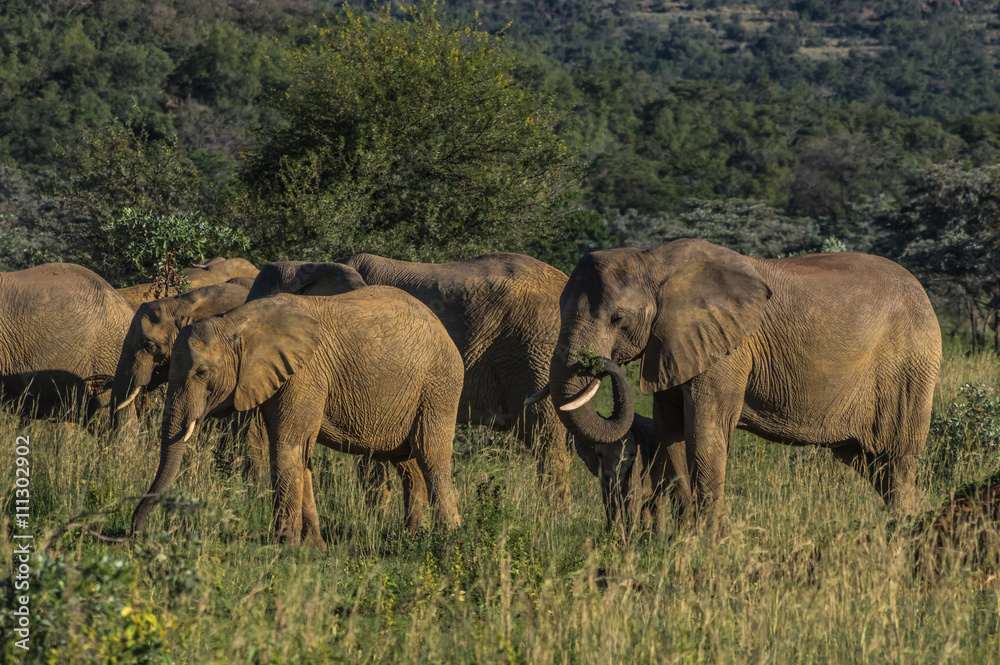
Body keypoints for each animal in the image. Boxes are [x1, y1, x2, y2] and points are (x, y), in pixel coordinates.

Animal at [130, 286, 468, 544]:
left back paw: (449, 539)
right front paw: (312, 545)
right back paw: (412, 535)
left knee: (431, 455)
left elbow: (287, 447)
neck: (238, 324)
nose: (137, 535)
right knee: (407, 462)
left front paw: (285, 544)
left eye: (201, 372)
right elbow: (300, 453)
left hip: (439, 384)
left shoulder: (303, 373)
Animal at [552, 239, 940, 524]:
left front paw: (707, 547)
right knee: (873, 466)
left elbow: (705, 431)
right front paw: (682, 542)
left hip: (908, 371)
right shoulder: (674, 346)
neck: (655, 262)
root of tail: (924, 295)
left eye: (617, 319)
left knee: (897, 464)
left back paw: (908, 530)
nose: (597, 363)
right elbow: (669, 431)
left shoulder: (726, 350)